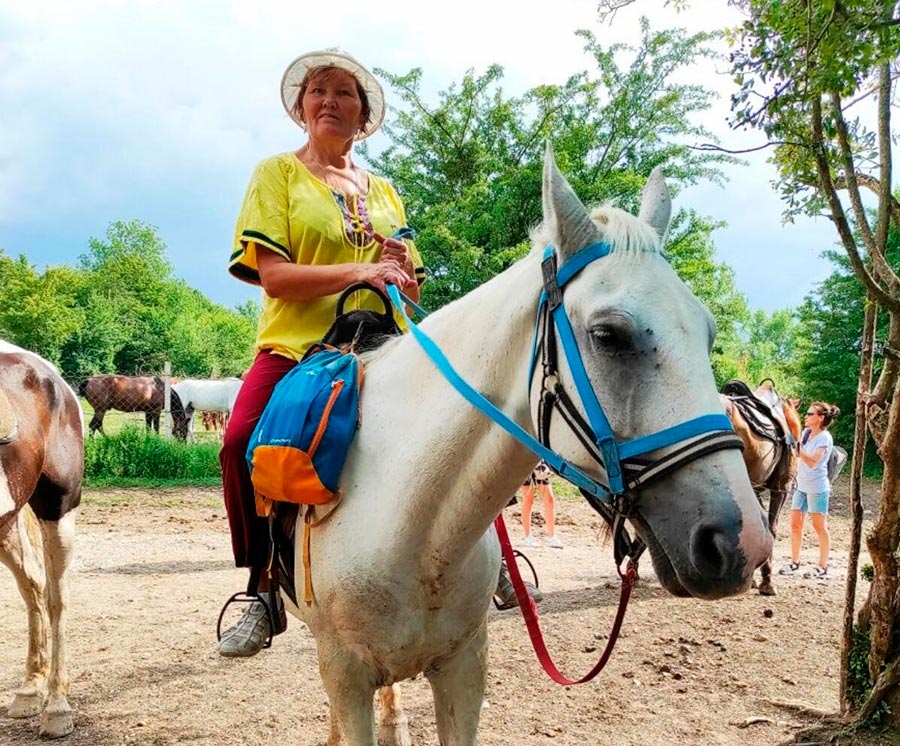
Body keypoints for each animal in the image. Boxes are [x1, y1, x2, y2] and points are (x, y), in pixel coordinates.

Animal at [284, 147, 772, 744]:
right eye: (609, 335)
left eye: (707, 334)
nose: (744, 542)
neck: (408, 523)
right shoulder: (346, 673)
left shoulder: (464, 667)